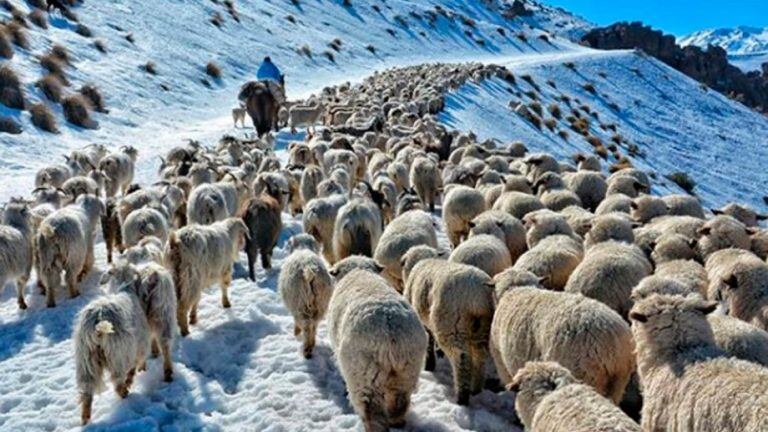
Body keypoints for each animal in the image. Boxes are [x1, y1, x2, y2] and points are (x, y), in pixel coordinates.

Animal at [328, 268, 428, 430]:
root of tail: (390, 330)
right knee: (400, 402)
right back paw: (397, 422)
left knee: (371, 412)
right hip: (407, 371)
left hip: (364, 376)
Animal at [402, 258, 492, 404]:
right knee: (480, 357)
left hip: (452, 327)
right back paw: (476, 389)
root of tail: (477, 295)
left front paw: (429, 364)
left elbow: (429, 340)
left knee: (461, 359)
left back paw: (462, 397)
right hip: (482, 330)